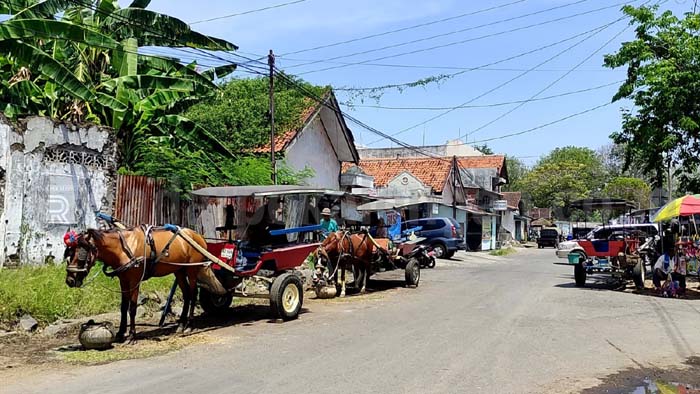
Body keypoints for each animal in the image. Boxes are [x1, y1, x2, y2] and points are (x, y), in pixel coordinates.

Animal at [65, 226, 213, 344]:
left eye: (81, 254)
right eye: (69, 253)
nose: (70, 280)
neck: (123, 248)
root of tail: (198, 236)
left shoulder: (135, 280)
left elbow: (132, 308)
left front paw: (132, 336)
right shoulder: (123, 280)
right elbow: (123, 307)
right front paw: (120, 333)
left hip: (192, 269)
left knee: (193, 294)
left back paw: (189, 325)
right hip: (179, 270)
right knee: (187, 294)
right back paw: (181, 324)